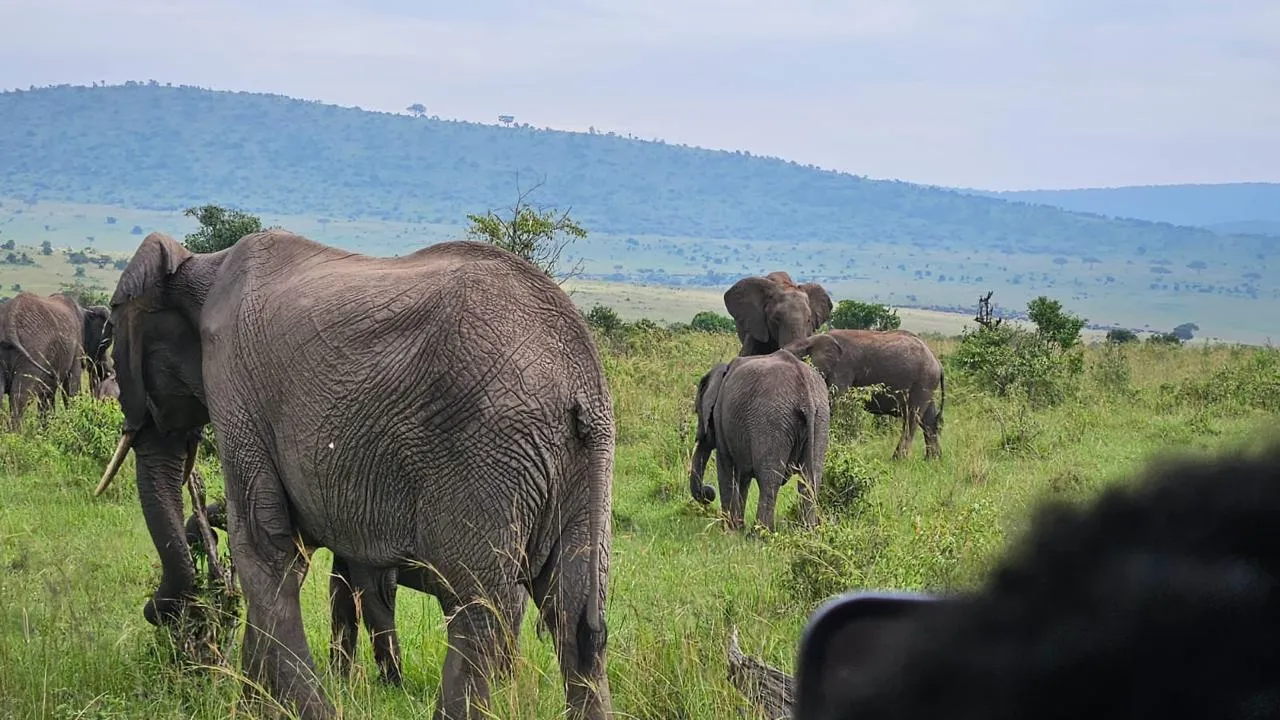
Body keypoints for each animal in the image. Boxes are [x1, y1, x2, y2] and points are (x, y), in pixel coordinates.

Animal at [0, 289, 111, 425]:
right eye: (103, 347)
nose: (107, 372)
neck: (85, 311)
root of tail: (9, 325)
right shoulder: (75, 346)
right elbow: (71, 388)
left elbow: (47, 395)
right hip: (33, 352)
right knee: (20, 398)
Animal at [91, 230, 614, 717]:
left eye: (112, 334)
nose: (159, 610)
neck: (199, 265)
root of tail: (579, 383)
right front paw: (257, 707)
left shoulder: (233, 382)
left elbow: (264, 548)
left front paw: (305, 711)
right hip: (583, 465)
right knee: (576, 619)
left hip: (484, 453)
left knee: (480, 610)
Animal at [691, 345, 829, 530]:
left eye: (697, 412)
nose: (708, 492)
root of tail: (804, 390)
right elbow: (743, 476)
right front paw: (738, 528)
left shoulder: (722, 422)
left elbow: (727, 468)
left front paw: (729, 530)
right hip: (820, 419)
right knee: (810, 479)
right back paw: (808, 531)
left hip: (772, 422)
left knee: (769, 481)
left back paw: (760, 533)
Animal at [783, 327, 947, 456]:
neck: (811, 340)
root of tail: (938, 363)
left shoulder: (842, 369)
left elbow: (835, 404)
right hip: (927, 384)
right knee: (928, 420)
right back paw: (933, 460)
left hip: (923, 381)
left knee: (912, 417)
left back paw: (898, 459)